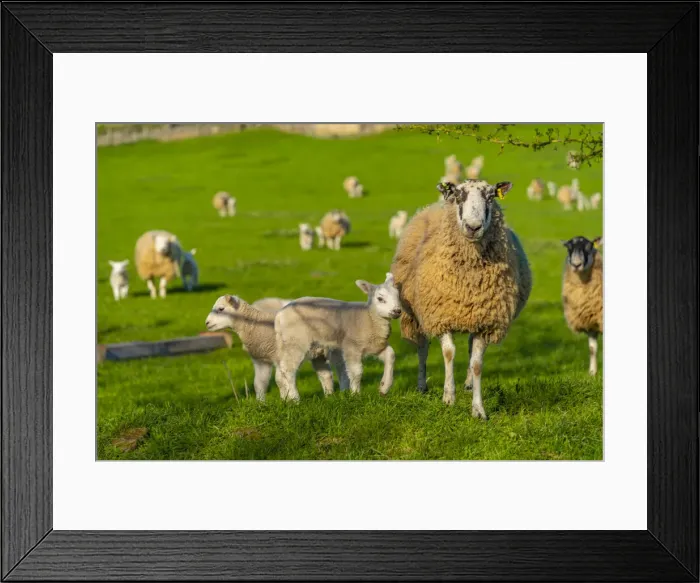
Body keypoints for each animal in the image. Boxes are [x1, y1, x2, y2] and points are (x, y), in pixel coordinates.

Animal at [205, 295, 348, 400]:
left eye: (221, 309)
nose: (206, 323)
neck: (255, 328)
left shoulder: (280, 357)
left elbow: (279, 380)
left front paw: (287, 400)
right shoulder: (261, 360)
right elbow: (259, 383)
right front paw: (261, 404)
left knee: (342, 369)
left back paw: (345, 393)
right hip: (319, 353)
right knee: (326, 374)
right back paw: (329, 396)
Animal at [274, 272, 401, 401]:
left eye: (398, 296)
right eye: (380, 298)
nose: (397, 311)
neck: (368, 317)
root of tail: (280, 315)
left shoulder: (375, 345)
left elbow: (391, 355)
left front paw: (384, 388)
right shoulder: (352, 347)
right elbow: (357, 372)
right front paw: (356, 395)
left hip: (295, 345)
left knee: (281, 373)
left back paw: (286, 399)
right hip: (296, 341)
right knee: (287, 369)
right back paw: (295, 399)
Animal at [391, 180, 532, 419]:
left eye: (491, 196)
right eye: (458, 195)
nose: (473, 227)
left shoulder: (485, 320)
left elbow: (476, 364)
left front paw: (478, 409)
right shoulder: (441, 316)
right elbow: (448, 354)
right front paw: (449, 397)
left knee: (468, 347)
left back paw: (467, 384)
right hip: (419, 314)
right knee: (422, 348)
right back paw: (422, 386)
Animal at [561, 236, 603, 375]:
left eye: (589, 246)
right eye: (568, 247)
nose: (576, 265)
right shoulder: (590, 322)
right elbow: (592, 348)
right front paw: (592, 373)